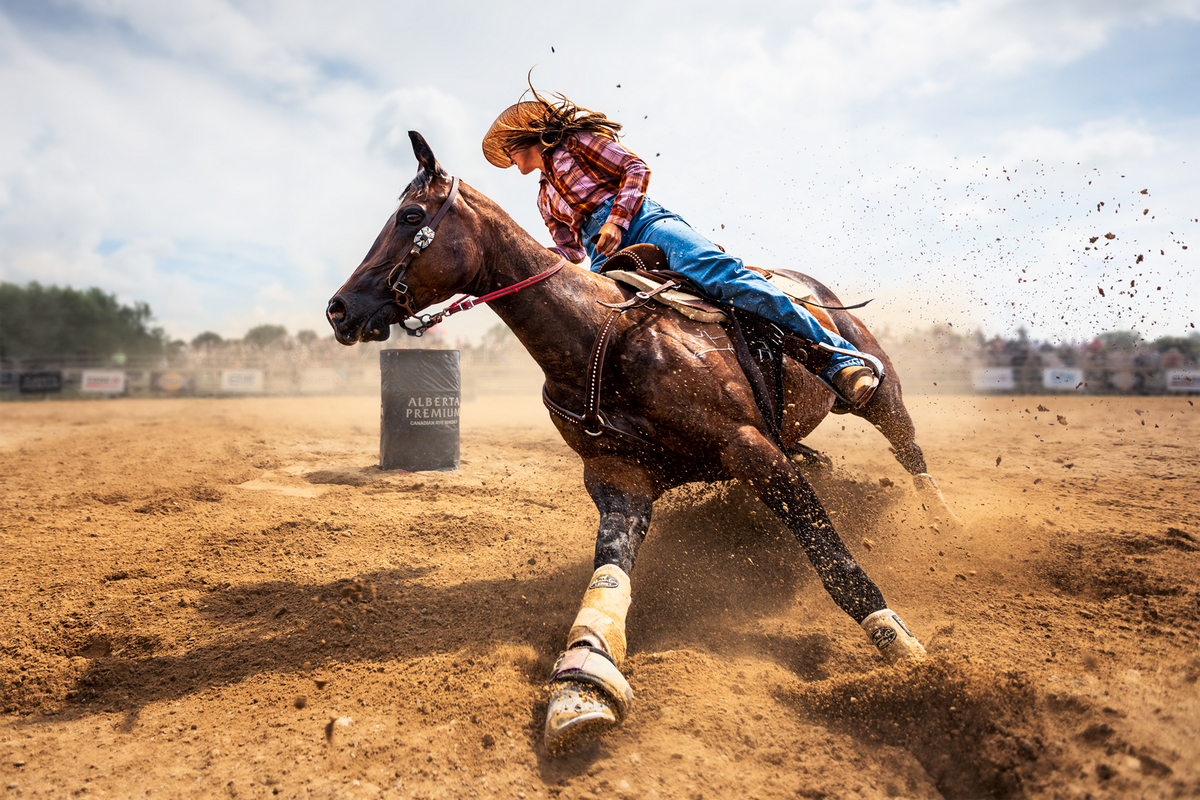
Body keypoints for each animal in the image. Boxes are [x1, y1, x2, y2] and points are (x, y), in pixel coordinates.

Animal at [326, 133, 945, 758]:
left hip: (880, 391)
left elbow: (834, 560)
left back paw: (940, 517)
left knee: (907, 446)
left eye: (410, 216)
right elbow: (609, 576)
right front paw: (583, 683)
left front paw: (904, 652)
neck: (600, 337)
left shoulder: (753, 452)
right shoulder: (617, 479)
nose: (339, 308)